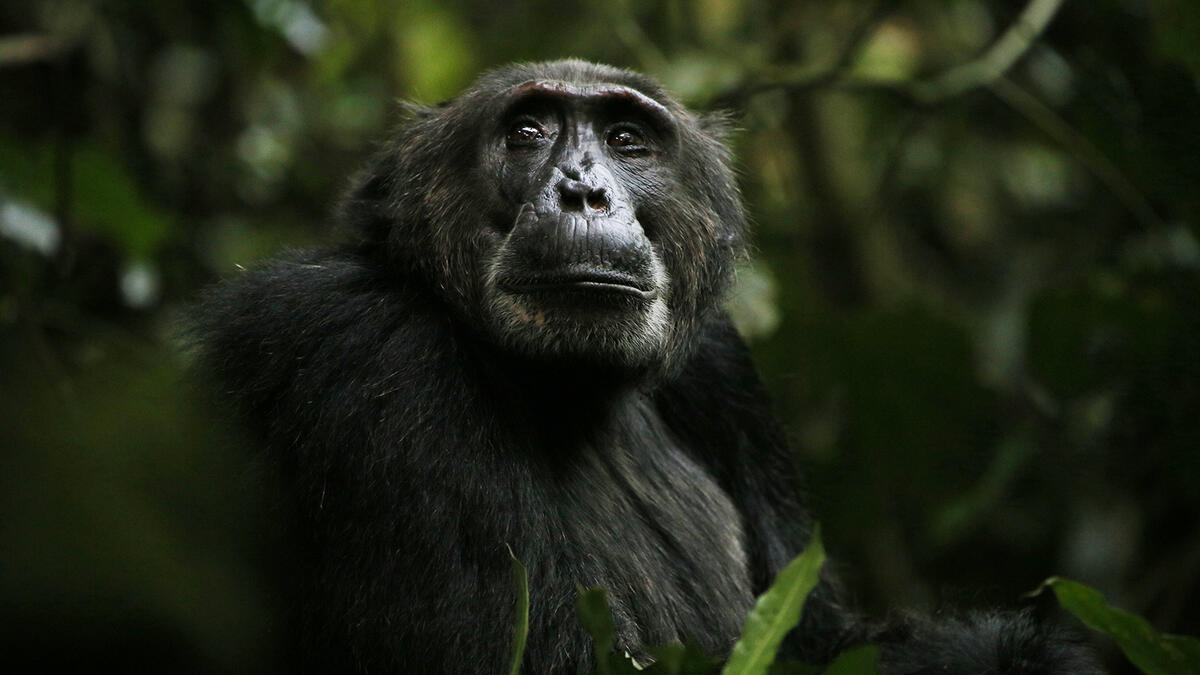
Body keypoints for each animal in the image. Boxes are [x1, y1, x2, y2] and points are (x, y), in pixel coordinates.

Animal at [192, 60, 1099, 667]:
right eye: (527, 132)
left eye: (628, 140)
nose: (583, 187)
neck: (557, 382)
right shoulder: (357, 350)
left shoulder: (722, 369)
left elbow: (821, 640)